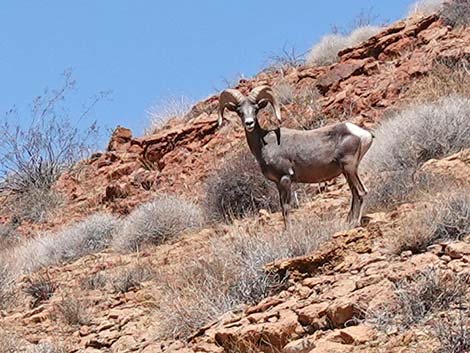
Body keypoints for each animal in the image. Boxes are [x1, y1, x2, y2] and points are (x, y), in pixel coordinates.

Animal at [218, 86, 374, 227]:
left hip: (349, 168)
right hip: (347, 172)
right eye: (240, 112)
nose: (249, 123)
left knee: (361, 192)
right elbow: (282, 208)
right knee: (354, 193)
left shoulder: (285, 178)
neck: (264, 143)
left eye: (256, 109)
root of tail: (362, 134)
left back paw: (355, 223)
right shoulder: (278, 183)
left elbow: (286, 208)